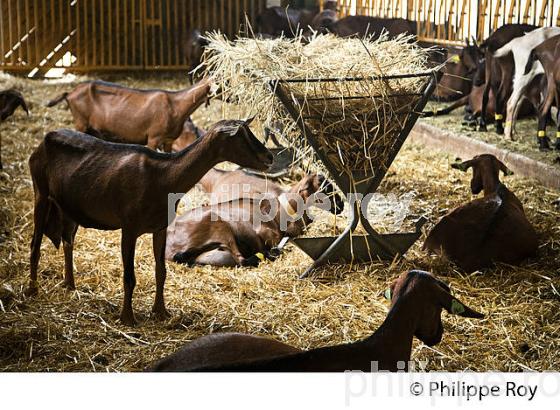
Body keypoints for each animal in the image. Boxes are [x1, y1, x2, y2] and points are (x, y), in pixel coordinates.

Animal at [28, 118, 274, 326]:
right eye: (240, 136)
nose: (269, 158)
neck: (162, 177)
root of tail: (42, 142)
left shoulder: (160, 228)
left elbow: (161, 271)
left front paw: (161, 312)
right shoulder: (128, 228)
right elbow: (129, 276)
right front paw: (128, 318)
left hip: (68, 207)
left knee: (67, 240)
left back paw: (69, 285)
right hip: (41, 192)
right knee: (35, 245)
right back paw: (33, 290)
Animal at [45, 77, 212, 150]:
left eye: (196, 131)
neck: (175, 104)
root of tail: (70, 93)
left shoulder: (168, 141)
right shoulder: (153, 138)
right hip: (80, 122)